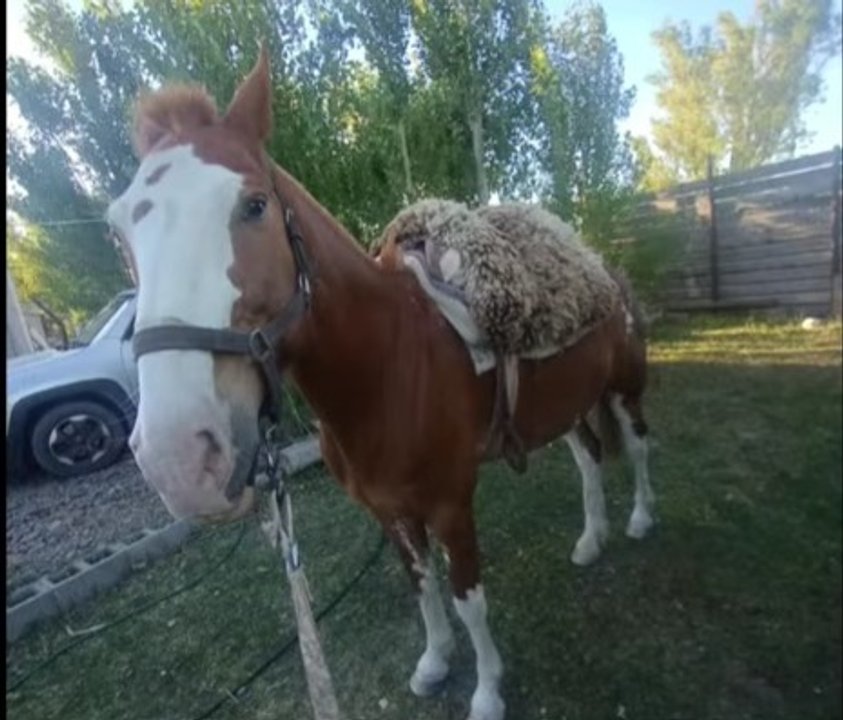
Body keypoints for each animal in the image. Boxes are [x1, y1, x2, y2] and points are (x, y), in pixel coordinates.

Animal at [107, 47, 654, 720]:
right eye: (119, 232)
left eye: (254, 206)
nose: (179, 461)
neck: (387, 369)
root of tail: (601, 265)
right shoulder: (388, 512)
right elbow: (421, 586)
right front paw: (435, 663)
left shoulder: (450, 506)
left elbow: (469, 599)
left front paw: (487, 692)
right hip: (565, 407)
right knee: (589, 457)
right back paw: (591, 539)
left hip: (625, 389)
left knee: (636, 445)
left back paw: (640, 519)